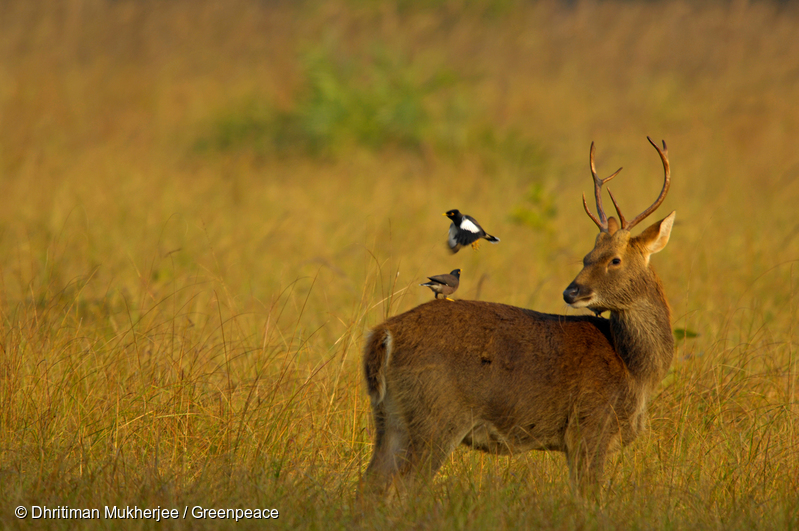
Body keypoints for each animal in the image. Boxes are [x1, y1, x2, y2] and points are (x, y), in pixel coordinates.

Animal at [360, 139, 676, 496]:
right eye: (587, 256)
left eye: (615, 260)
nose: (571, 292)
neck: (636, 371)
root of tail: (383, 334)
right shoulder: (590, 425)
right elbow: (588, 495)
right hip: (435, 416)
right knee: (402, 486)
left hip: (390, 416)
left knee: (370, 482)